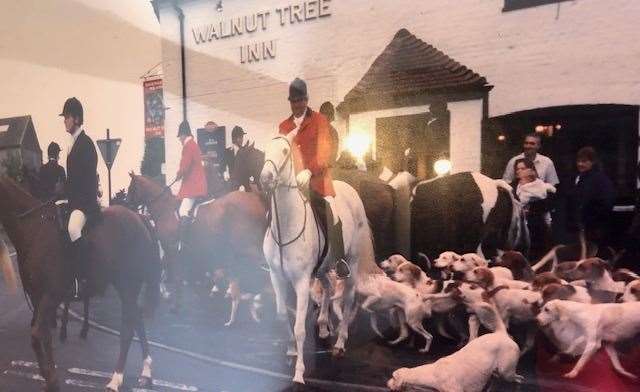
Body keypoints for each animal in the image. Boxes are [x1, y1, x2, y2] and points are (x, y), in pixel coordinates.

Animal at [0, 177, 160, 392]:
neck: (35, 229)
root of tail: (139, 217)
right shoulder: (37, 296)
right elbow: (40, 336)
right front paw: (49, 378)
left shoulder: (50, 295)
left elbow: (37, 333)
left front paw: (52, 379)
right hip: (125, 287)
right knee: (137, 320)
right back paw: (146, 372)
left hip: (128, 284)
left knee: (128, 329)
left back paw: (116, 379)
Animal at [125, 173, 268, 310]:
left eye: (131, 188)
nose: (127, 205)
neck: (165, 209)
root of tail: (255, 197)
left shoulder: (171, 248)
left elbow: (174, 273)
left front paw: (174, 302)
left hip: (246, 245)